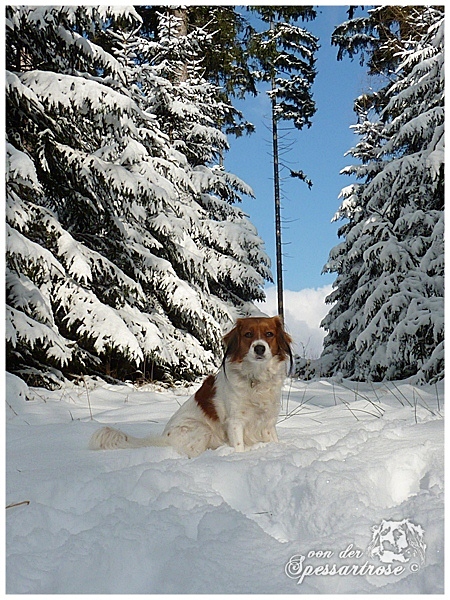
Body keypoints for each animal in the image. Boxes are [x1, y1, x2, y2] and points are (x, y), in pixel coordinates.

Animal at [89, 316, 294, 458]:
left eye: (269, 334)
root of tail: (164, 439)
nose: (259, 348)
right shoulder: (235, 422)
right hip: (200, 429)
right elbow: (239, 447)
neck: (256, 377)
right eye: (248, 335)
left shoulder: (268, 423)